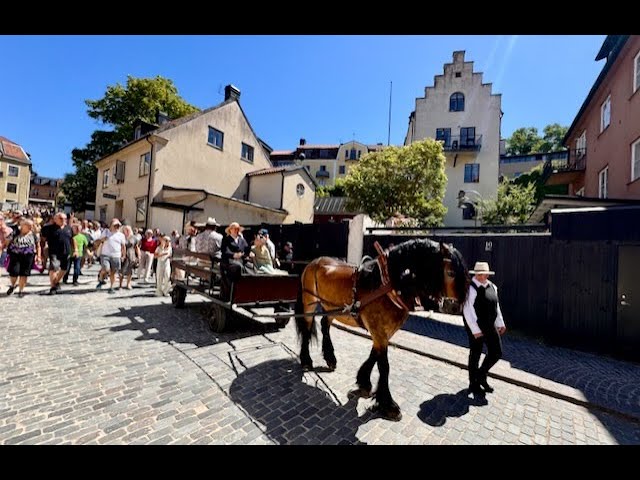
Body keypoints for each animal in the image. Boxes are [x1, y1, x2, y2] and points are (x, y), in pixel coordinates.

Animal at [296, 240, 470, 420]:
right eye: (450, 272)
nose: (455, 306)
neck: (387, 285)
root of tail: (314, 262)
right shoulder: (378, 331)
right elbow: (384, 366)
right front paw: (388, 404)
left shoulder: (384, 333)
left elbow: (374, 356)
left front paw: (364, 382)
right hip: (309, 302)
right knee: (307, 329)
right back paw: (306, 360)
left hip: (332, 308)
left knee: (325, 325)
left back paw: (330, 358)